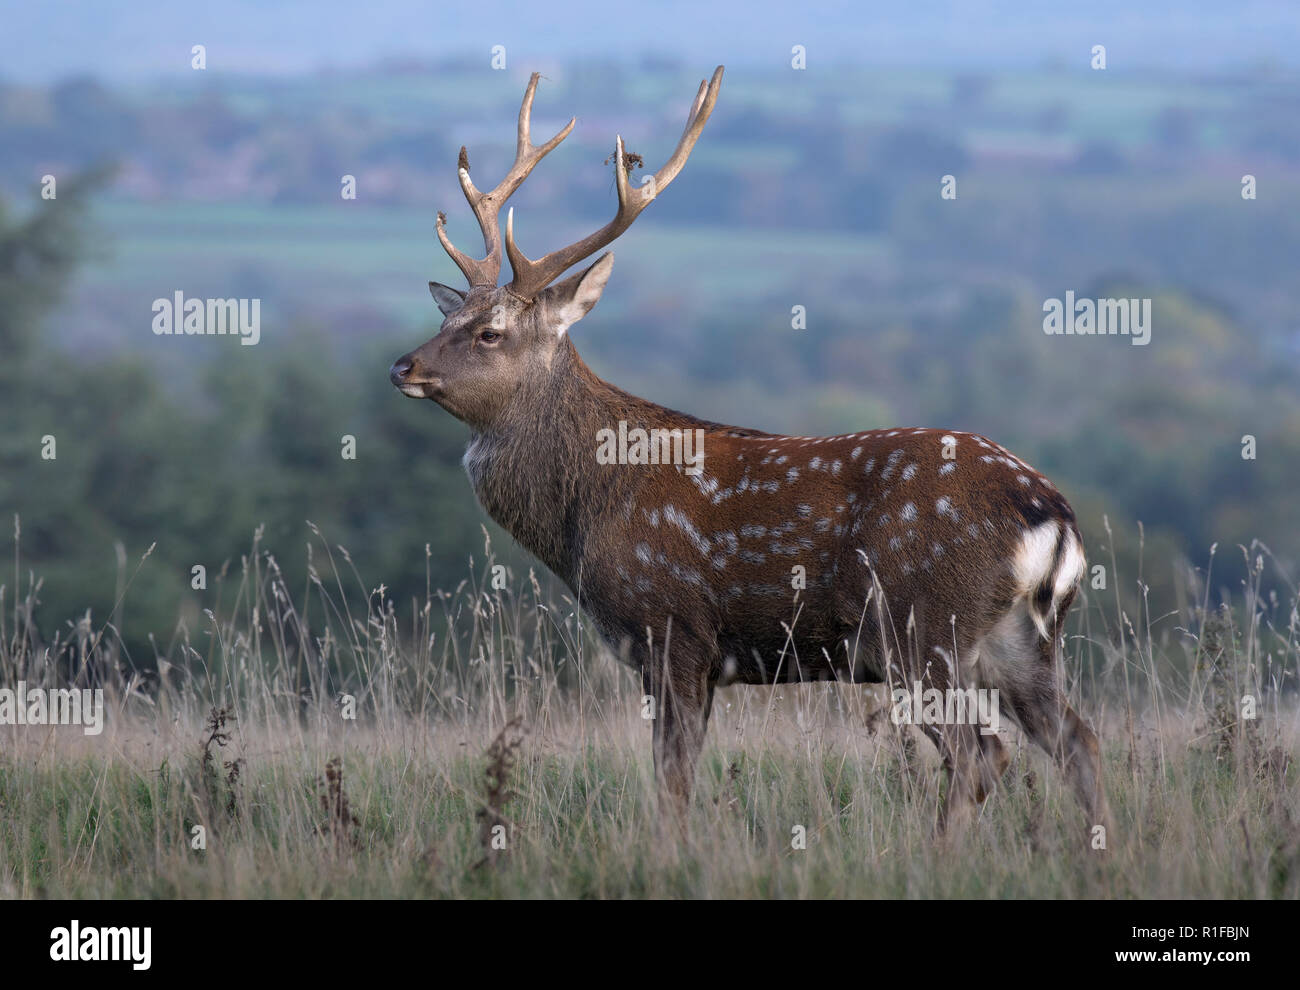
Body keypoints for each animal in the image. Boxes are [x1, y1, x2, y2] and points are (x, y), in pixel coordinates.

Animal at [390, 66, 1110, 840]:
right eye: (448, 316)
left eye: (490, 332)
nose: (402, 366)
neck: (585, 512)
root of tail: (1053, 519)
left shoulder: (673, 629)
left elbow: (672, 780)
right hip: (1018, 640)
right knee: (1078, 740)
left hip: (921, 626)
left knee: (982, 753)